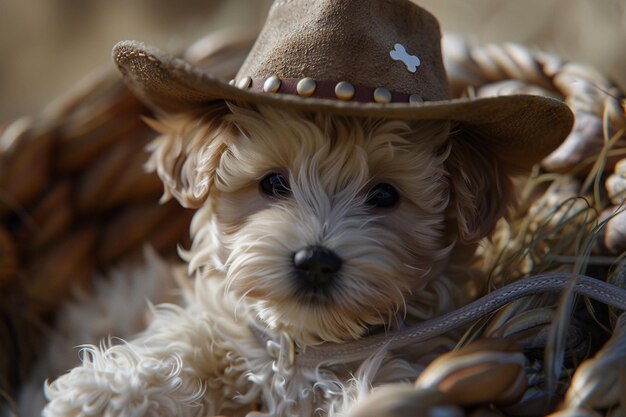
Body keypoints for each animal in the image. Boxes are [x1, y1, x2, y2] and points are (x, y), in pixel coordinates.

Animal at [42, 101, 512, 416]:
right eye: (273, 183)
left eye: (384, 195)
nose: (315, 261)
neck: (303, 350)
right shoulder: (224, 327)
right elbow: (185, 341)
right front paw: (97, 395)